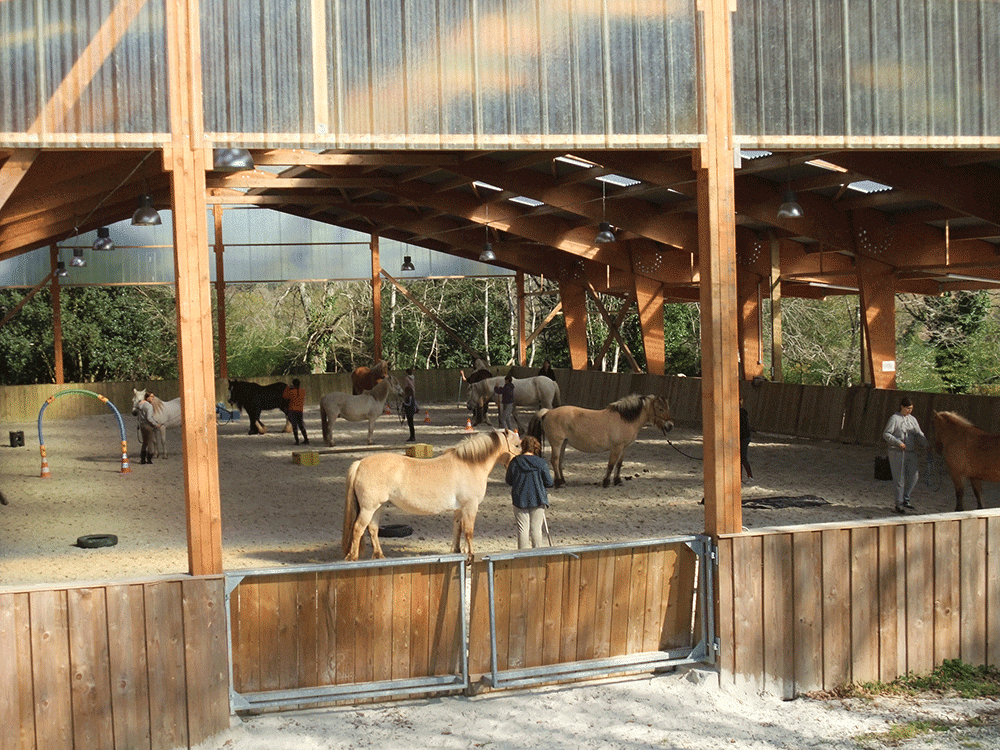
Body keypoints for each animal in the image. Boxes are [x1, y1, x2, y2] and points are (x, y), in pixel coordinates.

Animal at [342, 432, 520, 560]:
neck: (470, 464)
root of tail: (360, 463)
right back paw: (352, 558)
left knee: (372, 529)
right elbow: (469, 531)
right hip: (368, 508)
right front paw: (470, 556)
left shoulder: (459, 509)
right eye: (517, 445)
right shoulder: (470, 507)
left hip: (376, 507)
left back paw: (379, 556)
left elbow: (458, 528)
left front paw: (456, 551)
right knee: (358, 529)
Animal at [532, 396, 672, 490]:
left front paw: (618, 481)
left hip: (564, 443)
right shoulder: (617, 447)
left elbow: (619, 464)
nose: (670, 426)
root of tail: (548, 412)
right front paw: (606, 482)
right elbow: (611, 465)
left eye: (667, 408)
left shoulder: (624, 448)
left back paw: (562, 481)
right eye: (660, 409)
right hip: (557, 443)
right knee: (555, 461)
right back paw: (559, 483)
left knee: (559, 462)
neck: (625, 419)